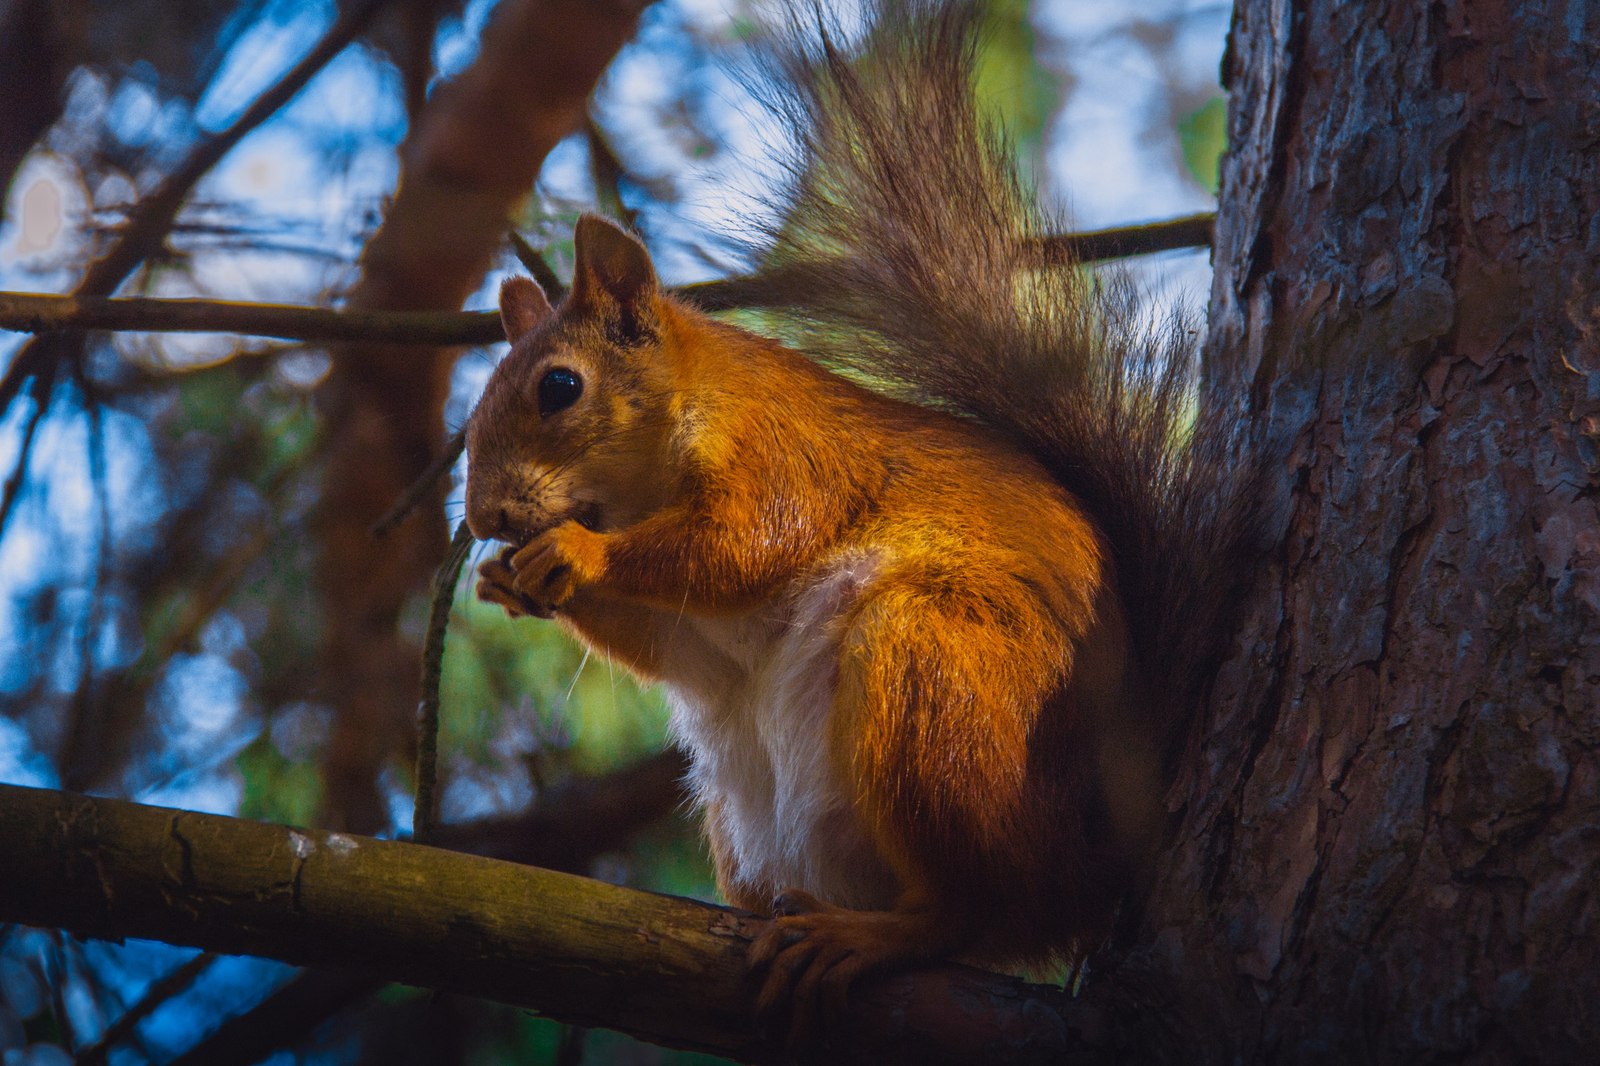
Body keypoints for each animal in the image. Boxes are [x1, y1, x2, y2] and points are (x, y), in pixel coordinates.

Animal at [464, 0, 1260, 1030]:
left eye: (559, 388)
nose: (484, 518)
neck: (641, 486)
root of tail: (1091, 862)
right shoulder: (694, 621)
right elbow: (669, 638)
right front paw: (509, 580)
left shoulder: (791, 457)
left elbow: (739, 546)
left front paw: (577, 553)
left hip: (931, 675)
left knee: (977, 910)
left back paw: (874, 936)